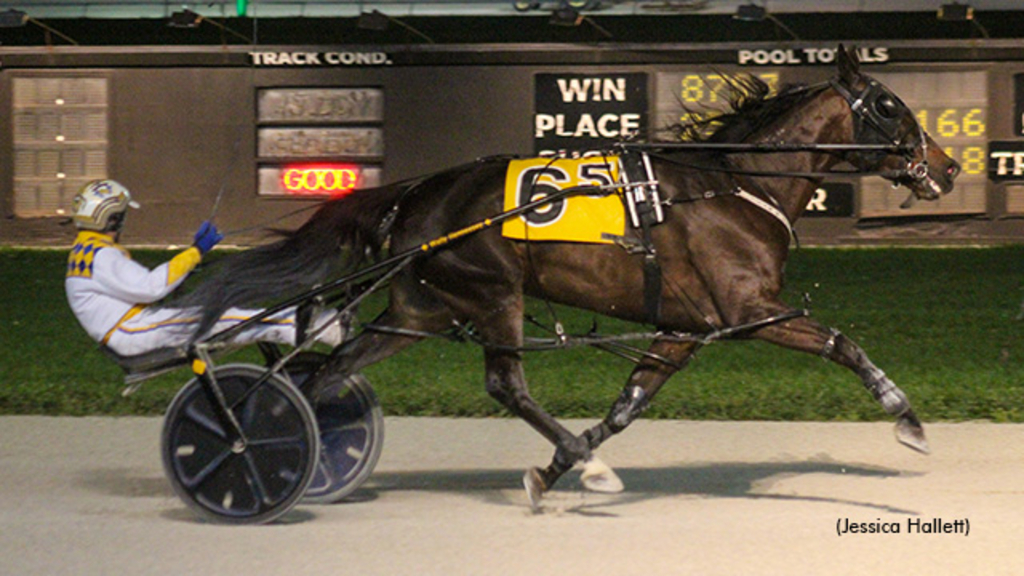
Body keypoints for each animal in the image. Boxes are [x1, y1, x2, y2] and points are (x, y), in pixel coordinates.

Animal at [182, 48, 958, 506]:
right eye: (888, 104)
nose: (947, 166)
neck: (734, 187)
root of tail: (416, 193)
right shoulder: (750, 309)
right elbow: (842, 344)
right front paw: (910, 421)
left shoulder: (683, 329)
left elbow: (627, 406)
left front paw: (553, 469)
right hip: (493, 291)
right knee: (504, 383)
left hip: (420, 309)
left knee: (327, 373)